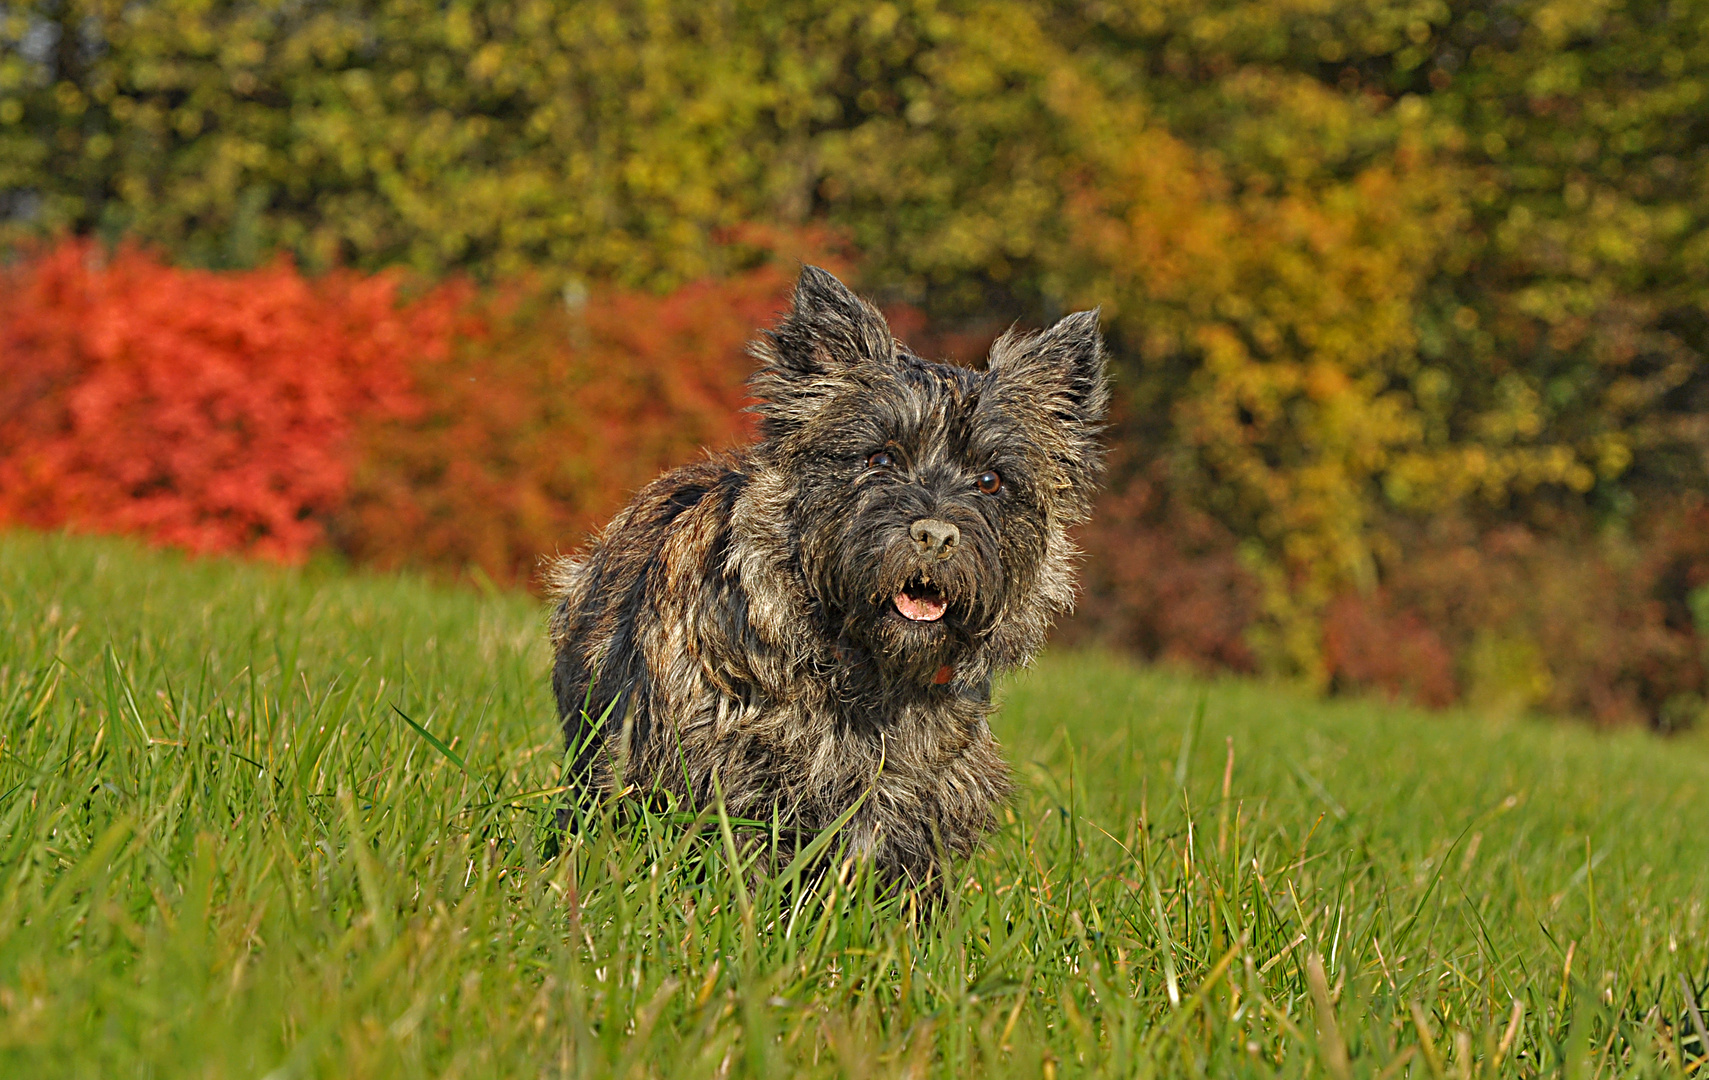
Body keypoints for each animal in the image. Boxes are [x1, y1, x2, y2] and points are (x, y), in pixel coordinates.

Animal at [546, 263, 1107, 888]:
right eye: (880, 458)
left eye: (991, 480)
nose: (936, 536)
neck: (863, 674)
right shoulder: (722, 780)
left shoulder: (924, 803)